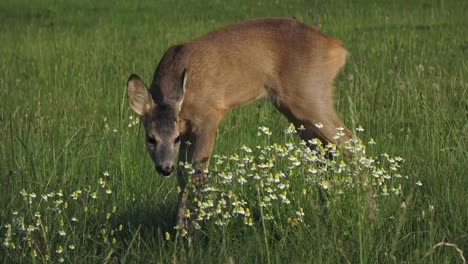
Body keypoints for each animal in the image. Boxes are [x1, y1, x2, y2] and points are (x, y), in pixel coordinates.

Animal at [128, 17, 354, 228]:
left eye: (174, 138)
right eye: (150, 138)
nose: (165, 168)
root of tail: (337, 46)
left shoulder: (208, 115)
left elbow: (196, 176)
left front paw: (190, 233)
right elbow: (183, 177)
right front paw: (179, 231)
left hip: (310, 95)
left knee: (350, 142)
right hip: (295, 111)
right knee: (325, 150)